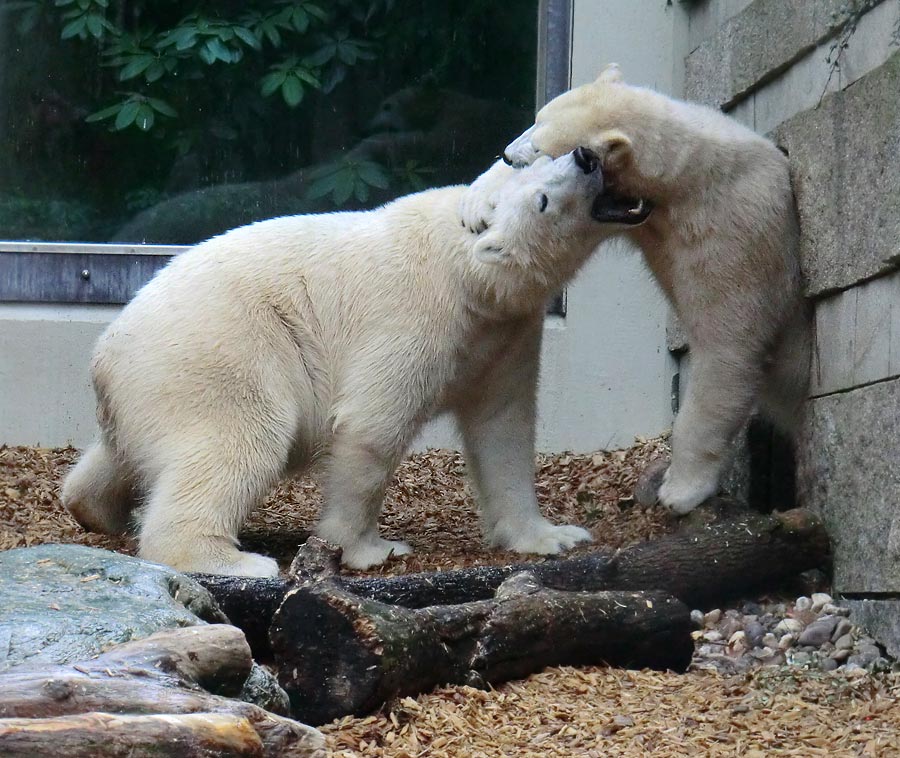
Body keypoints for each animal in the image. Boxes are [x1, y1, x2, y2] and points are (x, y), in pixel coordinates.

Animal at [65, 147, 652, 576]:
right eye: (542, 199)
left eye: (535, 163)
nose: (585, 156)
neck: (465, 275)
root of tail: (103, 353)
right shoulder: (413, 317)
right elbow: (372, 427)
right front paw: (368, 549)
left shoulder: (504, 334)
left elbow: (503, 427)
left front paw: (551, 536)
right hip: (221, 353)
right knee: (240, 440)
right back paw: (236, 559)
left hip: (151, 387)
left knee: (127, 453)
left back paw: (95, 507)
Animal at [460, 65, 812, 516]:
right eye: (535, 120)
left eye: (539, 143)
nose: (506, 152)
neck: (687, 182)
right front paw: (478, 202)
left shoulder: (734, 234)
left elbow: (729, 348)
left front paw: (679, 491)